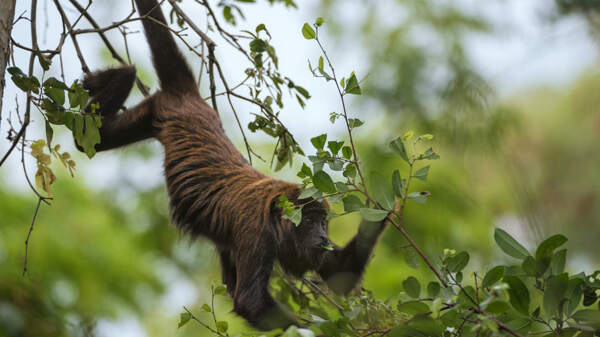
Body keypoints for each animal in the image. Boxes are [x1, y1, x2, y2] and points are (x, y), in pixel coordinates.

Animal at [79, 0, 390, 330]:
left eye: (323, 222)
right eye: (308, 221)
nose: (322, 237)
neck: (276, 216)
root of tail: (192, 100)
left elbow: (339, 273)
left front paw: (385, 206)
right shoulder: (257, 231)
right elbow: (250, 302)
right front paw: (313, 326)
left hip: (153, 113)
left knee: (93, 138)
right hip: (163, 109)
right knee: (91, 138)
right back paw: (121, 74)